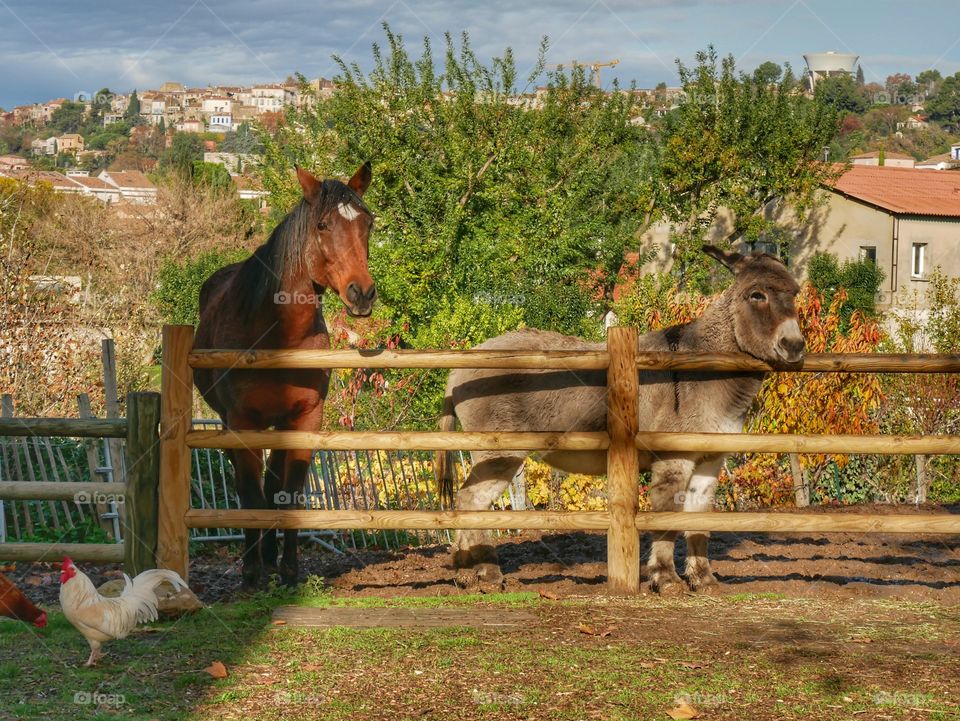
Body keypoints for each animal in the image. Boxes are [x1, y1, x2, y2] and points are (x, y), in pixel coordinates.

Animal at [195, 163, 376, 584]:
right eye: (323, 225)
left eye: (368, 222)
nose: (362, 293)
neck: (277, 334)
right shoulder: (242, 422)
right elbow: (250, 494)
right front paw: (252, 572)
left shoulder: (306, 419)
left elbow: (288, 493)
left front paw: (289, 569)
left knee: (274, 484)